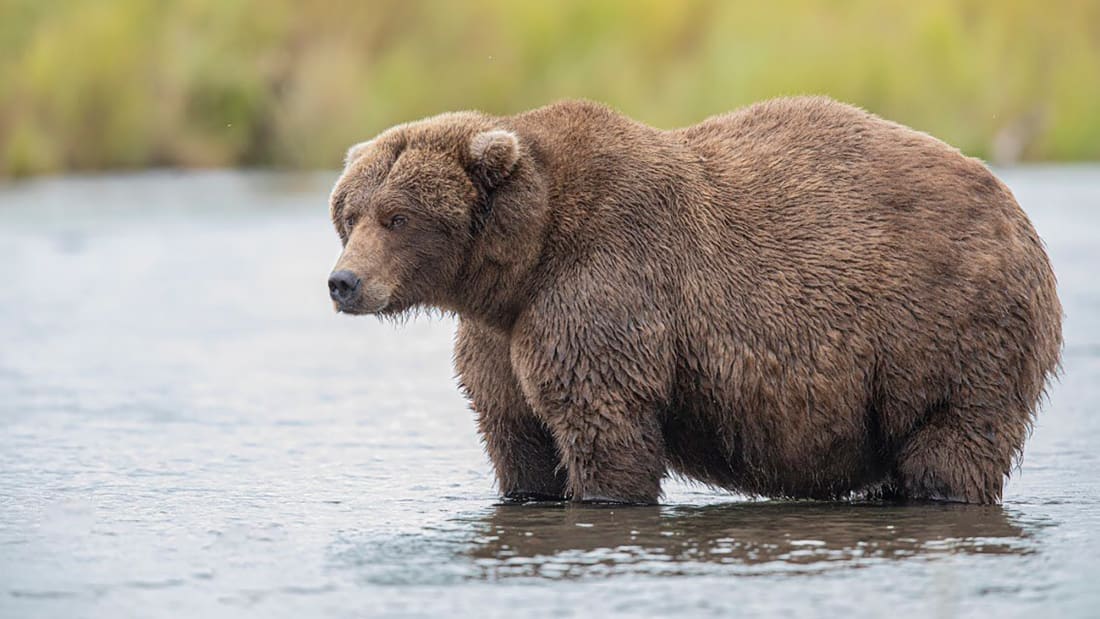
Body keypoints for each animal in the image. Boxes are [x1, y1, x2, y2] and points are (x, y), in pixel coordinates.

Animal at [323, 95, 1056, 503]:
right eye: (349, 213)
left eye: (397, 216)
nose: (343, 282)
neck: (521, 265)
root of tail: (1016, 208)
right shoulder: (498, 338)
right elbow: (517, 436)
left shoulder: (601, 292)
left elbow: (604, 425)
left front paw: (605, 493)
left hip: (947, 325)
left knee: (950, 440)